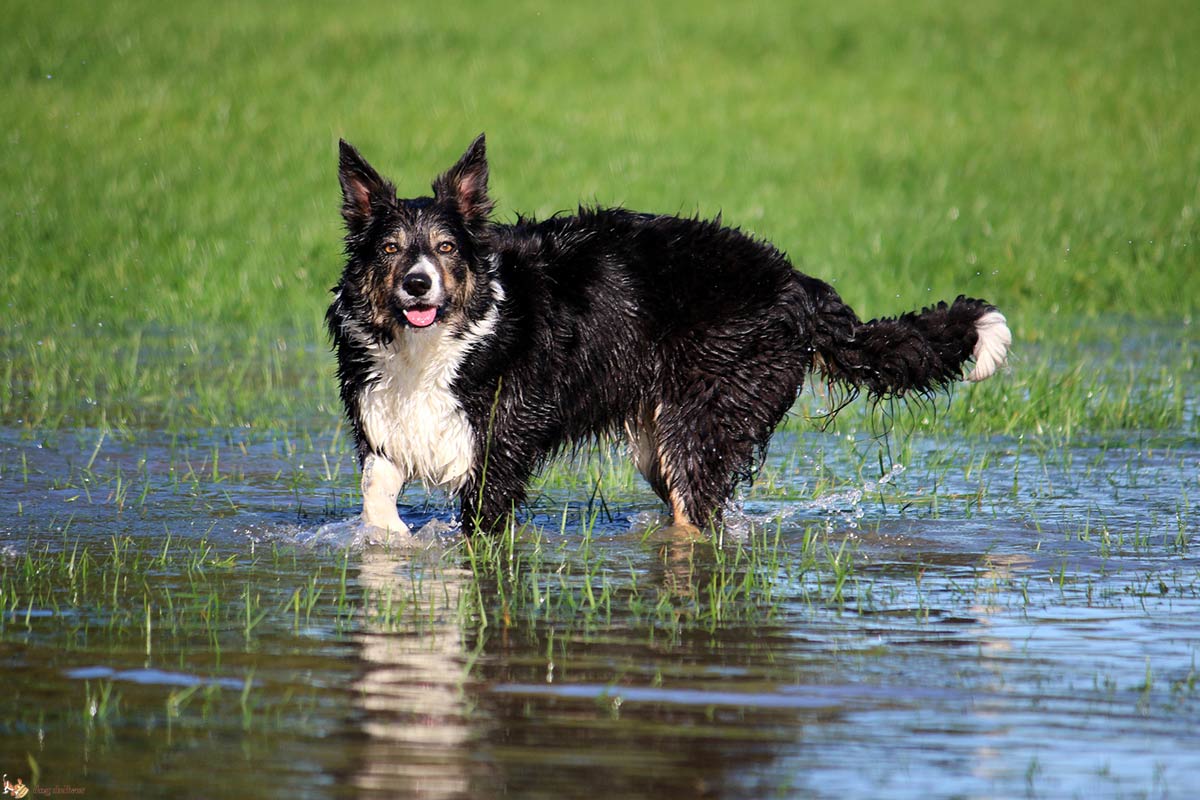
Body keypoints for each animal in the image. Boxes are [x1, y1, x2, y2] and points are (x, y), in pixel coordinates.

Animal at [324, 134, 1008, 537]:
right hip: (664, 436)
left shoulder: (500, 443)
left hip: (706, 422)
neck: (437, 344)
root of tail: (796, 281)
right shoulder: (387, 419)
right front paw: (390, 546)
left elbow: (481, 522)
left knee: (696, 516)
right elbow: (376, 492)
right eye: (390, 249)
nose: (418, 285)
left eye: (445, 248)